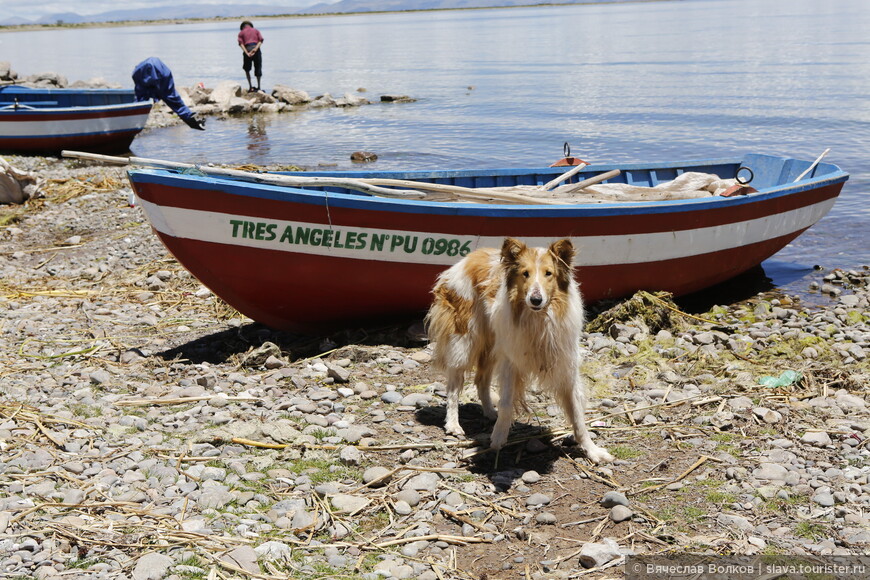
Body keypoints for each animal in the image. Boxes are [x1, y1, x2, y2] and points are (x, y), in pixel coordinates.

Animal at [428, 236, 616, 462]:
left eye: (548, 273)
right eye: (525, 273)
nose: (535, 299)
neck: (539, 320)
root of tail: (470, 257)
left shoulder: (566, 367)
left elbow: (578, 415)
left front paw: (592, 450)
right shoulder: (511, 362)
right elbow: (506, 403)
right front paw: (498, 438)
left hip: (493, 346)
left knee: (481, 380)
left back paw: (490, 412)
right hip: (465, 342)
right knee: (454, 387)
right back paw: (453, 424)